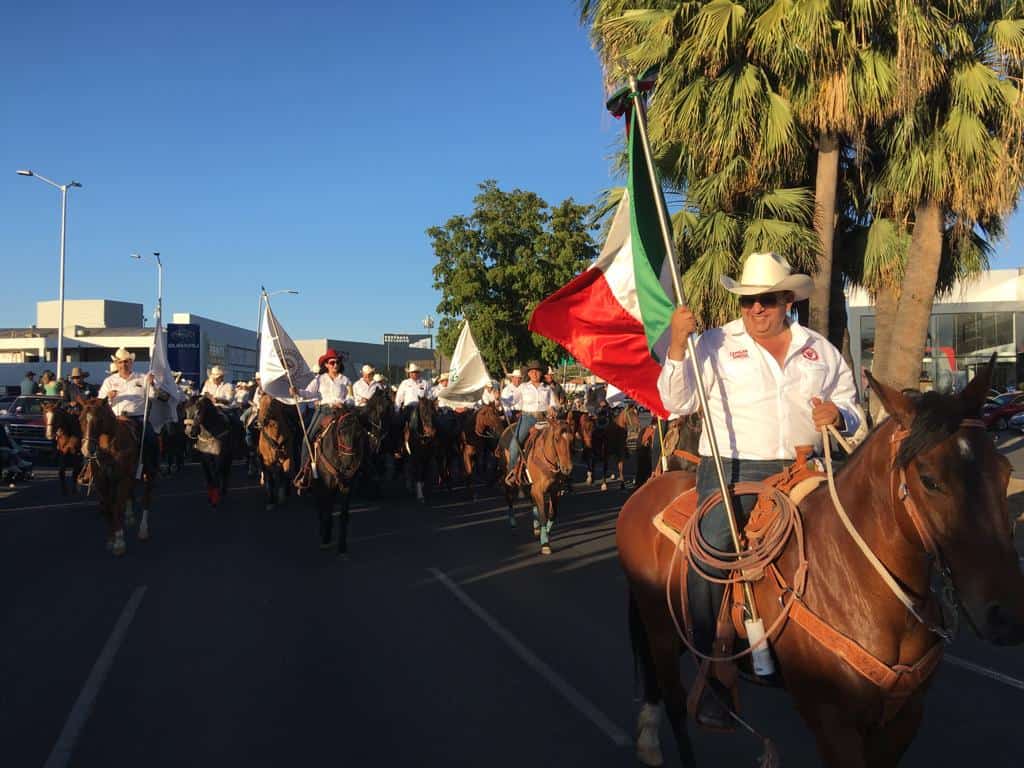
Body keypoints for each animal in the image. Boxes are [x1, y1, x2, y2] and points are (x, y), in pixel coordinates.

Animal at [77, 399, 155, 557]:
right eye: (80, 419)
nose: (87, 449)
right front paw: (111, 538)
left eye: (100, 420)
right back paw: (129, 517)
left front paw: (119, 542)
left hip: (149, 474)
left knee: (146, 497)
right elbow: (108, 507)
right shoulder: (102, 481)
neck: (110, 447)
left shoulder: (123, 479)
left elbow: (117, 506)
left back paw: (143, 530)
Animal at [311, 411, 368, 557]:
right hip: (317, 484)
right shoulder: (327, 485)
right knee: (321, 505)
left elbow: (343, 515)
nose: (348, 462)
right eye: (341, 432)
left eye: (359, 433)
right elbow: (327, 510)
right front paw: (325, 539)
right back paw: (323, 530)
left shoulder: (347, 486)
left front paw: (342, 546)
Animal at [614, 362, 1024, 768]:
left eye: (1004, 470)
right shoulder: (833, 723)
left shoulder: (903, 719)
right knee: (675, 703)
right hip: (660, 630)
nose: (1007, 616)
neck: (856, 580)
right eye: (928, 480)